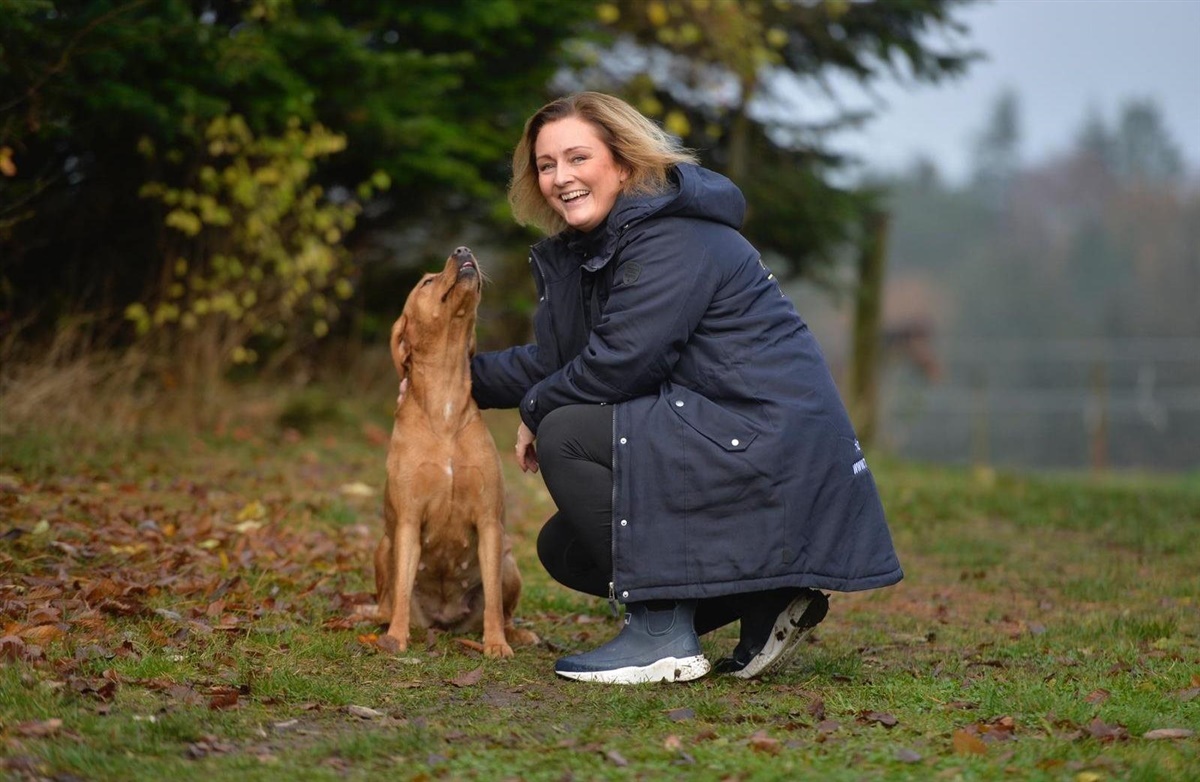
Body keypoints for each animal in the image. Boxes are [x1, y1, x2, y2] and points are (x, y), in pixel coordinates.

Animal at [373, 246, 534, 658]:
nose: (462, 250)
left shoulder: (489, 523)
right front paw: (397, 637)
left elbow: (492, 600)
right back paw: (375, 620)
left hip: (510, 560)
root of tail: (443, 622)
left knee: (505, 609)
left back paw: (514, 634)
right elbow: (400, 592)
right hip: (384, 545)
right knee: (387, 598)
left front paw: (495, 644)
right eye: (426, 282)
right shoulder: (408, 521)